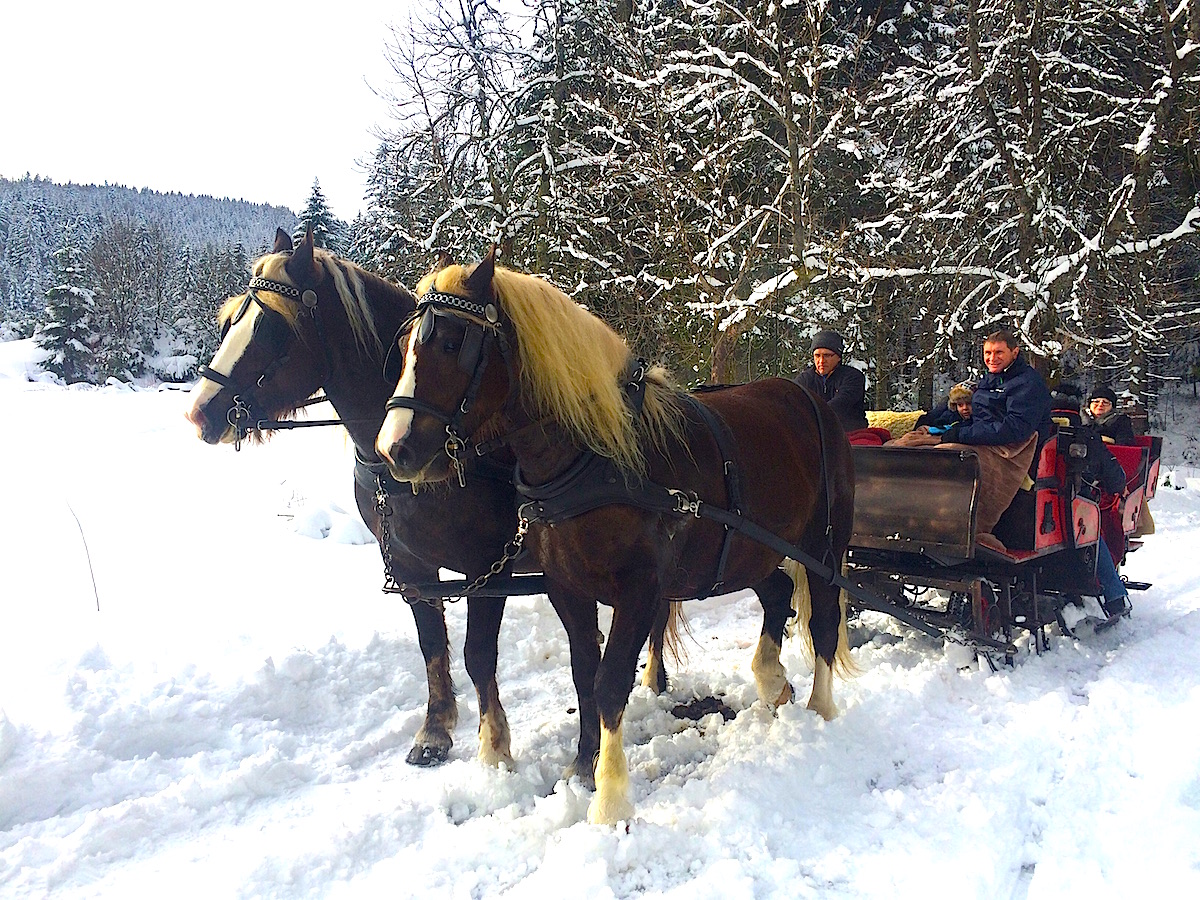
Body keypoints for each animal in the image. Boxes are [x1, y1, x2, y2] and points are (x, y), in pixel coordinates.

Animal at [187, 230, 676, 777]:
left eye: (271, 329)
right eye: (230, 321)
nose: (200, 412)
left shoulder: (487, 566)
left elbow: (477, 653)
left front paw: (494, 745)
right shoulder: (411, 566)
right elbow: (431, 646)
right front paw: (435, 730)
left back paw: (654, 678)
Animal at [374, 250, 854, 830]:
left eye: (451, 343)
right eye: (403, 344)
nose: (393, 448)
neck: (593, 456)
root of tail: (809, 401)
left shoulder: (640, 589)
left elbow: (609, 682)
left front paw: (609, 800)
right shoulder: (565, 587)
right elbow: (584, 674)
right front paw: (582, 767)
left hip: (822, 546)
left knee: (823, 621)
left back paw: (820, 709)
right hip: (751, 550)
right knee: (778, 594)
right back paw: (772, 680)